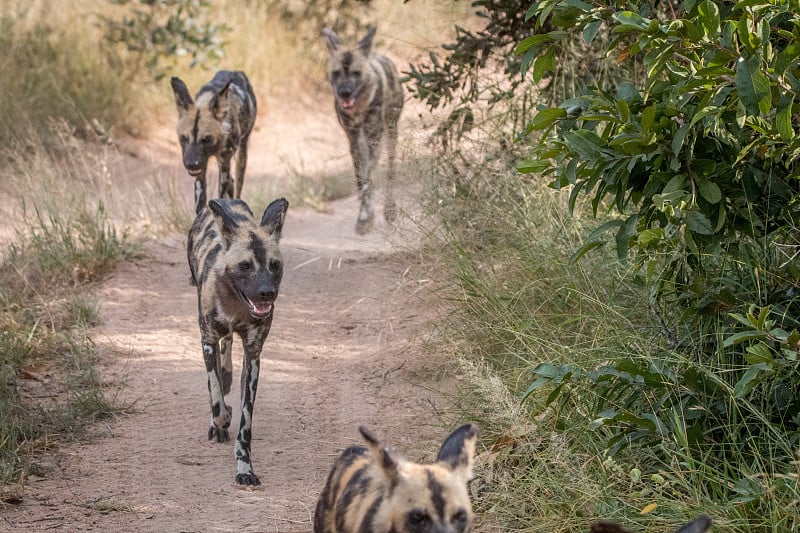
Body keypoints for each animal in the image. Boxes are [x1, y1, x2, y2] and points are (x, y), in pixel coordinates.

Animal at [171, 70, 256, 214]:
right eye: (184, 138)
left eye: (206, 139)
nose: (191, 164)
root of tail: (233, 71)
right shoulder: (200, 174)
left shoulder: (223, 165)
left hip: (241, 155)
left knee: (236, 185)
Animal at [187, 197, 288, 484]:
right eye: (245, 266)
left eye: (274, 265)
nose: (267, 293)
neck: (236, 306)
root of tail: (226, 199)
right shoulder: (207, 341)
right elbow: (216, 400)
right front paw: (220, 422)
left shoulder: (253, 356)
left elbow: (245, 423)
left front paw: (244, 468)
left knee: (229, 345)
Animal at [322, 25, 404, 233]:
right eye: (336, 73)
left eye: (356, 73)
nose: (344, 92)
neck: (359, 107)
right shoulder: (354, 139)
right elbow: (361, 179)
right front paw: (364, 217)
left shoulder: (373, 137)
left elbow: (368, 177)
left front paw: (368, 217)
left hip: (390, 133)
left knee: (391, 170)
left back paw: (390, 210)